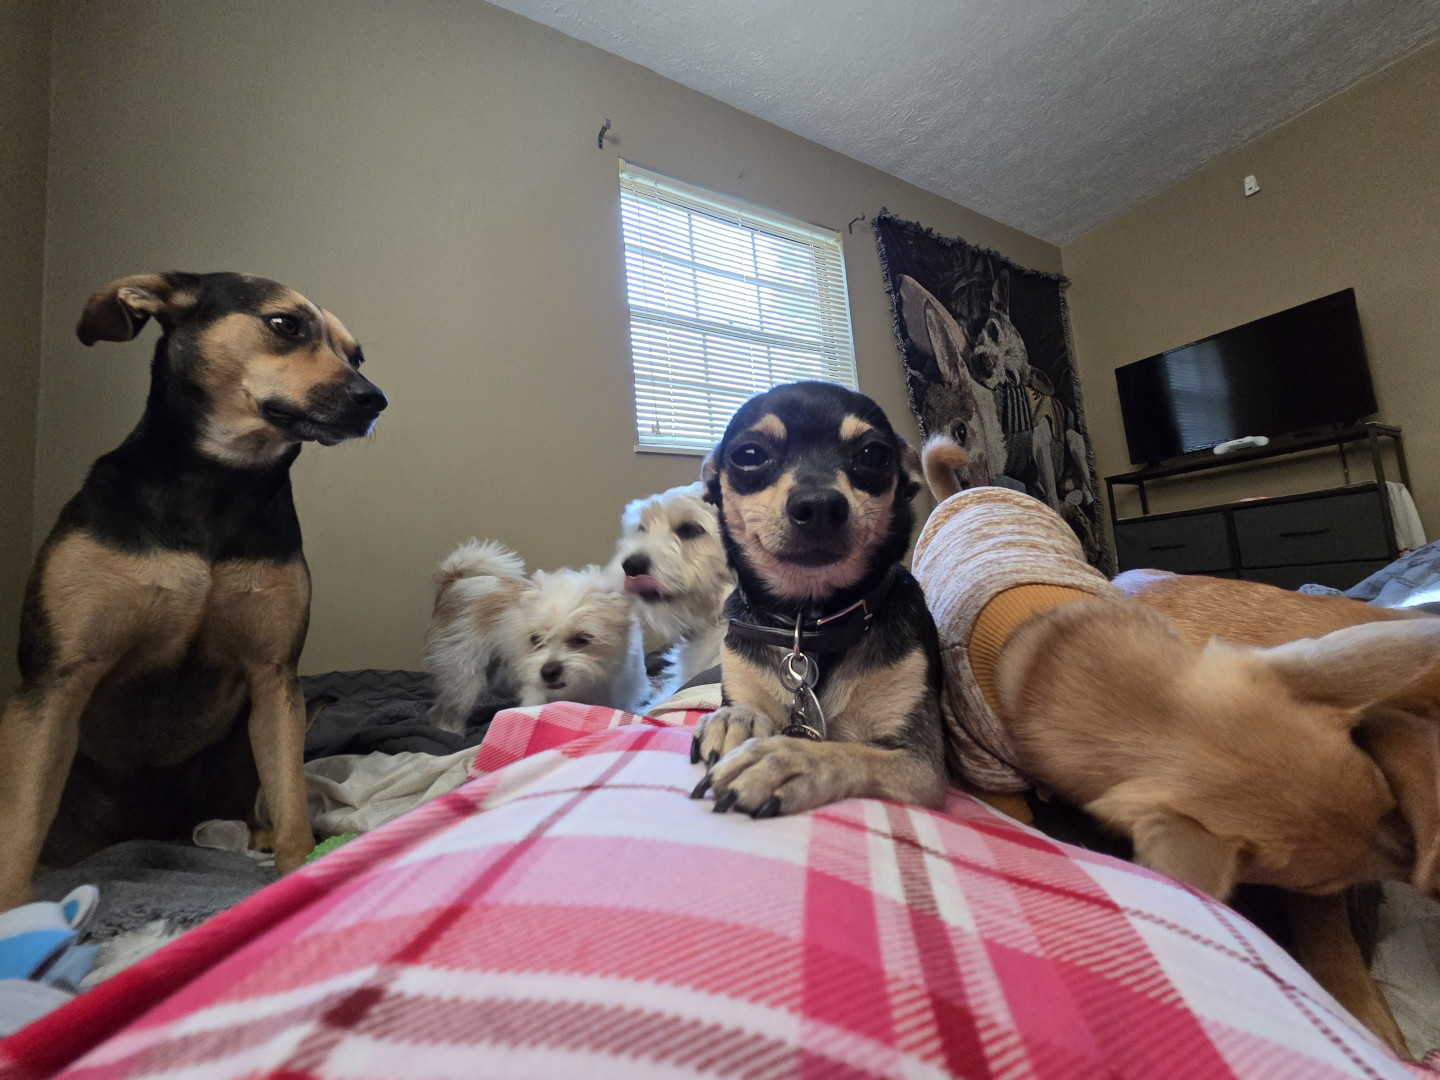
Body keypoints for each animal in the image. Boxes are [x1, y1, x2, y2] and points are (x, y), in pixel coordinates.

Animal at [0, 271, 387, 911]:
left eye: (356, 356)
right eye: (286, 324)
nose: (375, 400)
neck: (220, 481)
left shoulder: (275, 677)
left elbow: (290, 796)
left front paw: (299, 867)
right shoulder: (57, 678)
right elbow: (22, 819)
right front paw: (14, 910)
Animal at [426, 540, 648, 731]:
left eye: (581, 639)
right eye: (535, 639)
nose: (548, 672)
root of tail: (453, 582)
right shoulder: (536, 696)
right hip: (465, 676)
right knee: (447, 712)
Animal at [687, 381, 947, 818]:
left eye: (874, 455)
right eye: (749, 456)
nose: (820, 505)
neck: (807, 622)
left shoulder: (920, 766)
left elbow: (852, 752)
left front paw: (787, 760)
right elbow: (741, 703)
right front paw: (734, 719)